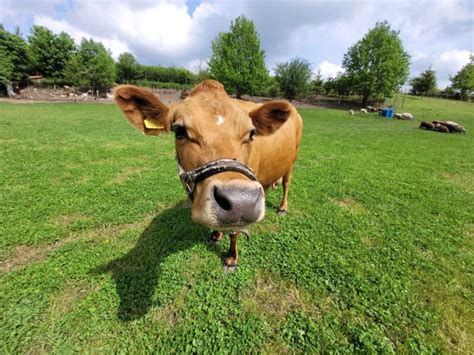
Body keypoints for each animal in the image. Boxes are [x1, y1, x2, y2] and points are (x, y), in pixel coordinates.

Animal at [113, 80, 302, 270]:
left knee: (287, 183)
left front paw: (231, 258)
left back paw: (283, 207)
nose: (241, 201)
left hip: (292, 161)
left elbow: (234, 233)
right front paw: (216, 235)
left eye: (251, 133)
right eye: (179, 131)